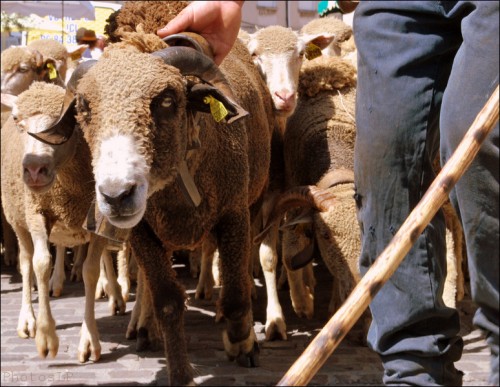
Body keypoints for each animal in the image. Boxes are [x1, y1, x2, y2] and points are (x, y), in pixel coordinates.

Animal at [69, 12, 276, 382]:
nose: (116, 195)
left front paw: (243, 343)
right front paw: (180, 373)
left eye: (166, 100)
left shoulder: (235, 213)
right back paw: (144, 327)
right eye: (84, 107)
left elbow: (236, 293)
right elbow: (167, 300)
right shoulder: (142, 231)